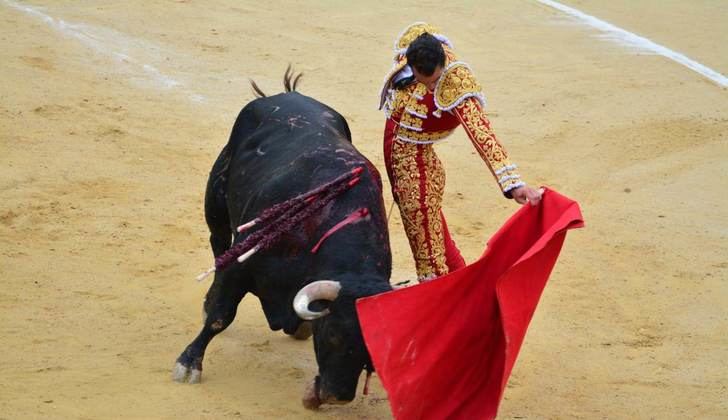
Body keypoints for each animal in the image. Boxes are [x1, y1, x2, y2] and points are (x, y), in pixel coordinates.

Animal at [173, 86, 392, 406]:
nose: (338, 397)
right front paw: (189, 363)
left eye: (371, 354)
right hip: (216, 203)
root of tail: (285, 94)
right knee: (218, 245)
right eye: (333, 334)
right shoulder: (242, 264)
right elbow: (221, 316)